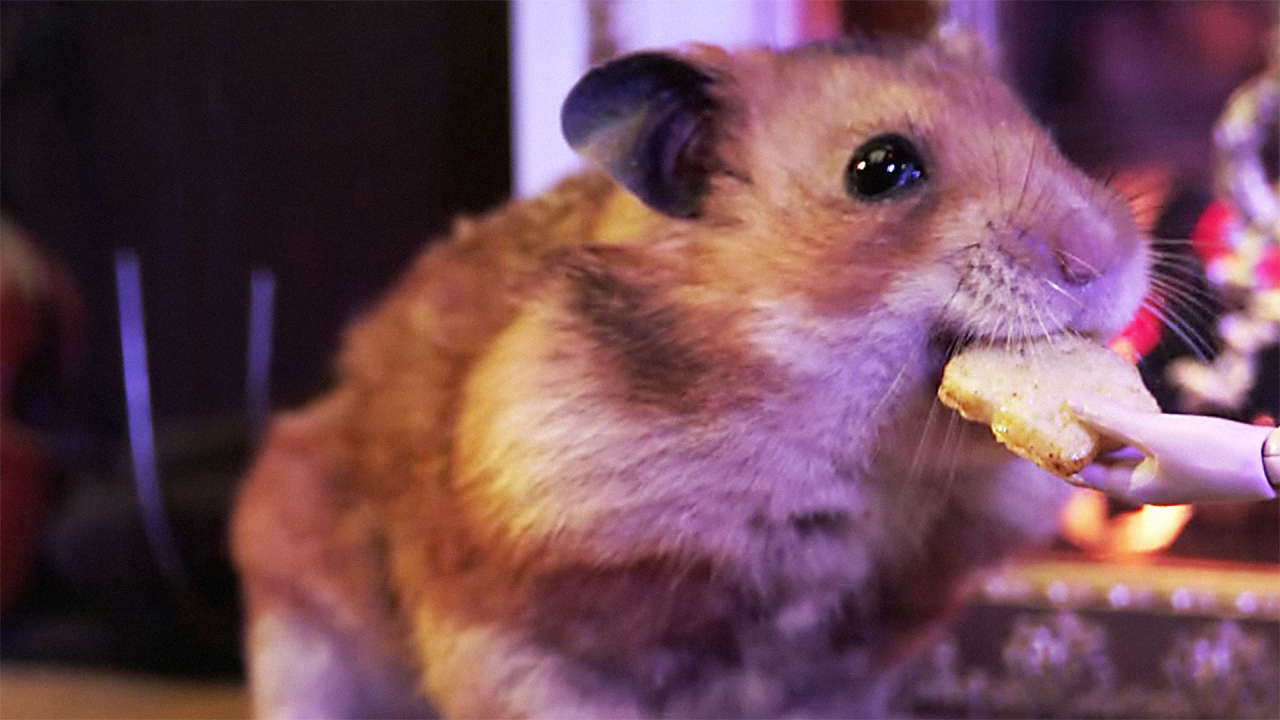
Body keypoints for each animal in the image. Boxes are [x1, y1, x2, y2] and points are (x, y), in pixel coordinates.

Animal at [232, 32, 1149, 719]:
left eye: (1044, 135)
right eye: (880, 168)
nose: (1105, 260)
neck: (852, 465)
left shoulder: (854, 663)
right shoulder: (521, 647)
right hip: (297, 632)